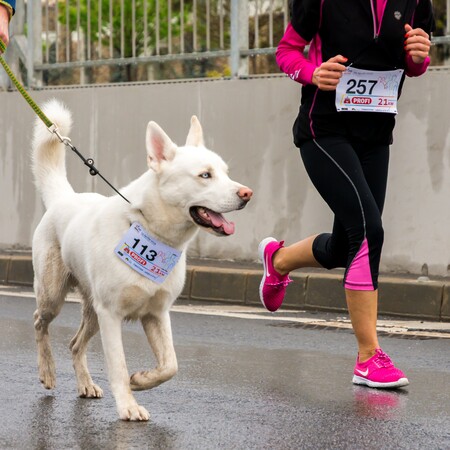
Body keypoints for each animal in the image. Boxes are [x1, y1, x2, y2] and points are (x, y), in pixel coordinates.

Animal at [30, 100, 253, 420]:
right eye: (205, 175)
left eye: (225, 172)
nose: (247, 193)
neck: (149, 228)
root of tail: (64, 198)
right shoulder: (111, 315)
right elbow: (118, 366)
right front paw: (128, 406)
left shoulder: (157, 314)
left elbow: (170, 366)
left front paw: (141, 380)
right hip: (54, 296)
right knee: (40, 322)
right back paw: (47, 370)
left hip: (92, 312)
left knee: (74, 344)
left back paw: (85, 383)